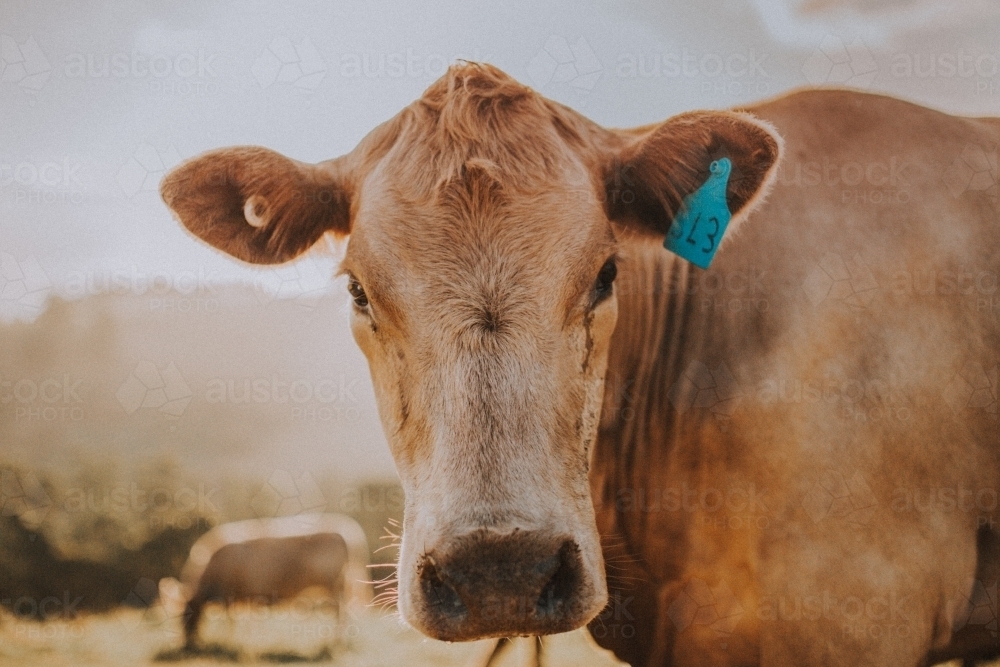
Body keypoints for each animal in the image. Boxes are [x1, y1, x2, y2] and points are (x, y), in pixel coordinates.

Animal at [158, 516, 370, 648]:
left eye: (183, 616)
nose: (186, 644)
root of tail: (347, 530)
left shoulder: (230, 593)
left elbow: (231, 621)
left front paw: (230, 640)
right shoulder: (246, 595)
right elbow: (245, 619)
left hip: (336, 585)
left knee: (342, 612)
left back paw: (337, 642)